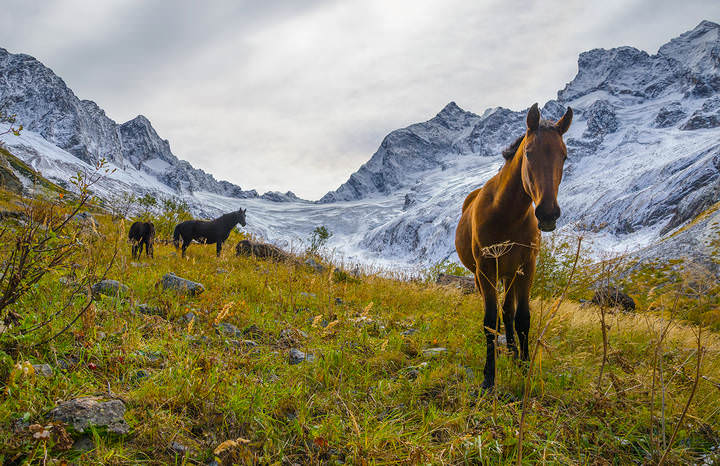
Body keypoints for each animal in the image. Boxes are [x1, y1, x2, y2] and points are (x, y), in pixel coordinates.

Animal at [455, 103, 573, 390]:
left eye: (564, 156)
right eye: (528, 152)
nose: (548, 214)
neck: (505, 212)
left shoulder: (527, 267)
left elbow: (522, 318)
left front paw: (523, 364)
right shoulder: (486, 269)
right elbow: (489, 321)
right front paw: (488, 377)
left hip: (509, 274)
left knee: (508, 312)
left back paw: (512, 351)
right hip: (486, 275)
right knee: (498, 315)